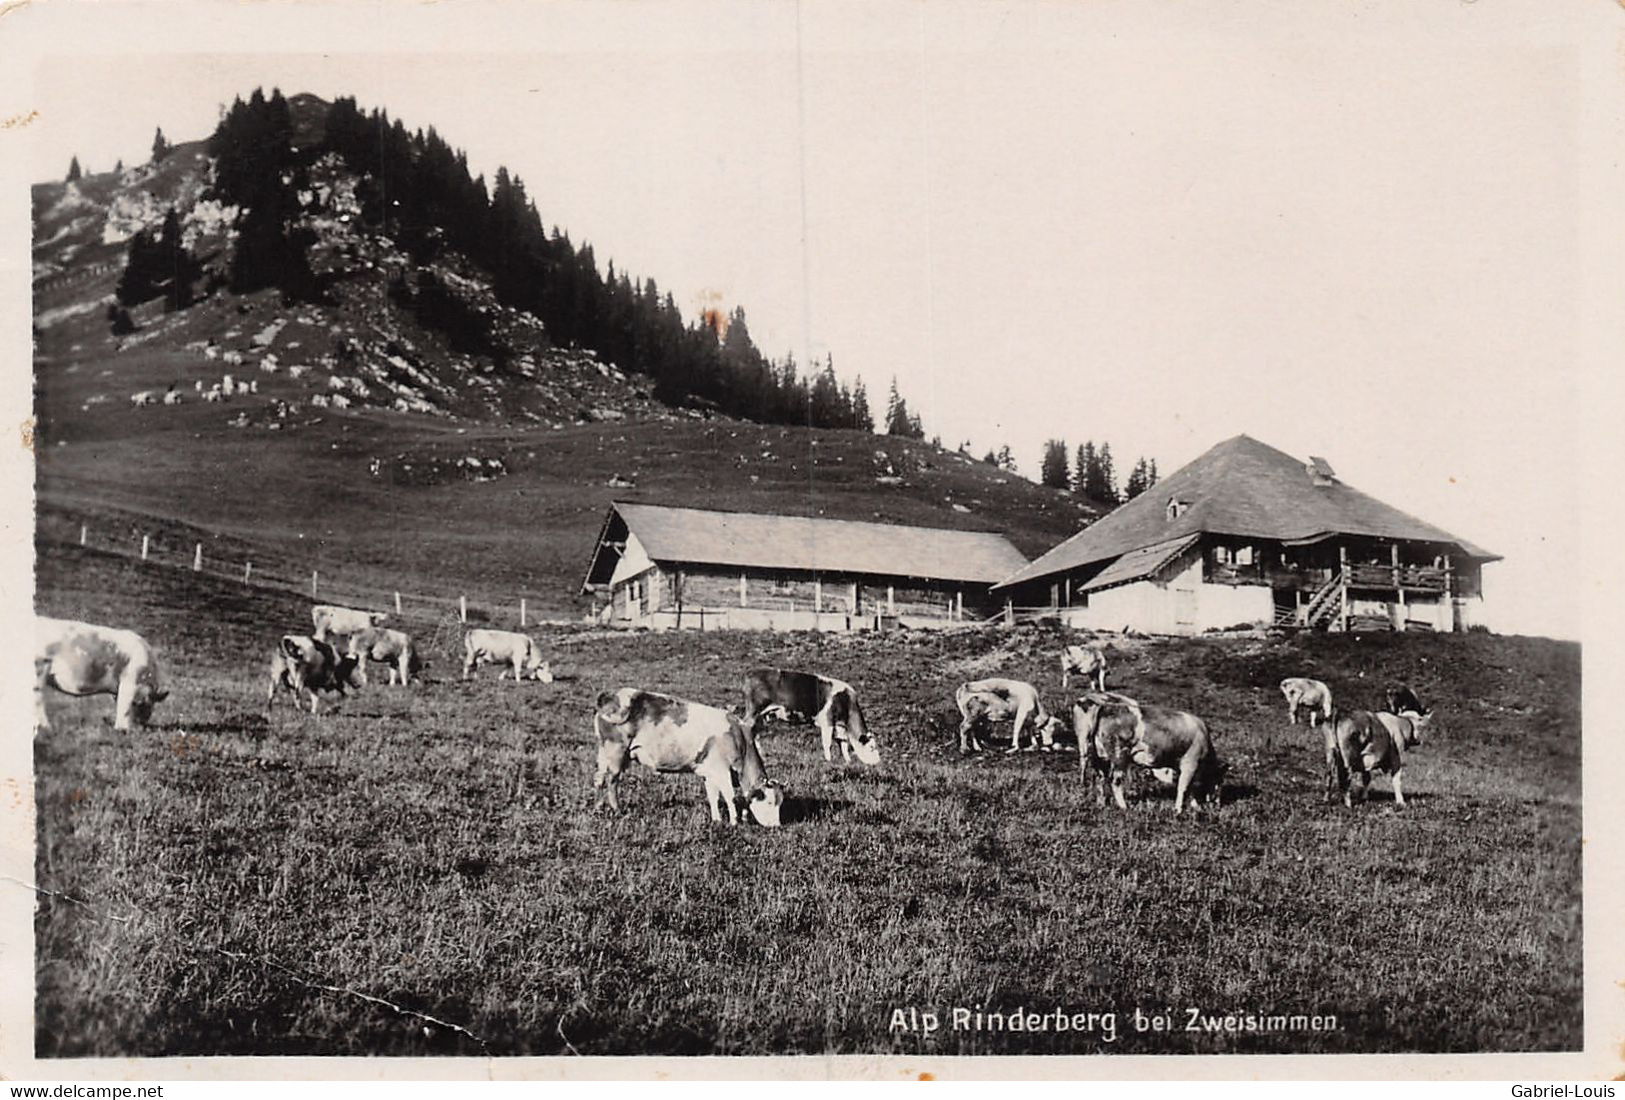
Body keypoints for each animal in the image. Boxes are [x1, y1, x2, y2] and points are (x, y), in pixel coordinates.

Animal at [36, 614, 168, 734]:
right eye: (145, 704)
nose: (141, 728)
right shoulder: (129, 681)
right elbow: (124, 705)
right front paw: (122, 729)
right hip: (39, 669)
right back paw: (47, 727)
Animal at [594, 685, 783, 825]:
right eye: (769, 802)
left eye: (780, 803)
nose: (776, 826)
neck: (739, 738)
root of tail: (611, 695)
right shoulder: (721, 770)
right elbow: (730, 796)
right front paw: (734, 822)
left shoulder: (709, 772)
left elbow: (713, 796)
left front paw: (716, 820)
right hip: (615, 751)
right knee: (612, 780)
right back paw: (617, 809)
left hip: (606, 753)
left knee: (599, 779)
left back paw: (599, 808)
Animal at [744, 669, 884, 763]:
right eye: (872, 747)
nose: (878, 761)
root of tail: (752, 674)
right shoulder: (827, 720)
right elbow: (827, 743)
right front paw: (829, 761)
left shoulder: (839, 725)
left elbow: (843, 742)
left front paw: (847, 761)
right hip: (753, 712)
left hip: (762, 716)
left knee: (755, 734)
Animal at [1072, 695, 1222, 815]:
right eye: (1219, 782)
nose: (1218, 804)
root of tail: (1105, 707)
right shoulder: (1190, 762)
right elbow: (1184, 787)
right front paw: (1179, 809)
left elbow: (1191, 787)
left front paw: (1195, 806)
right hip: (1119, 755)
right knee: (1115, 781)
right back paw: (1124, 807)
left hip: (1100, 756)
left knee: (1099, 778)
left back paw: (1101, 804)